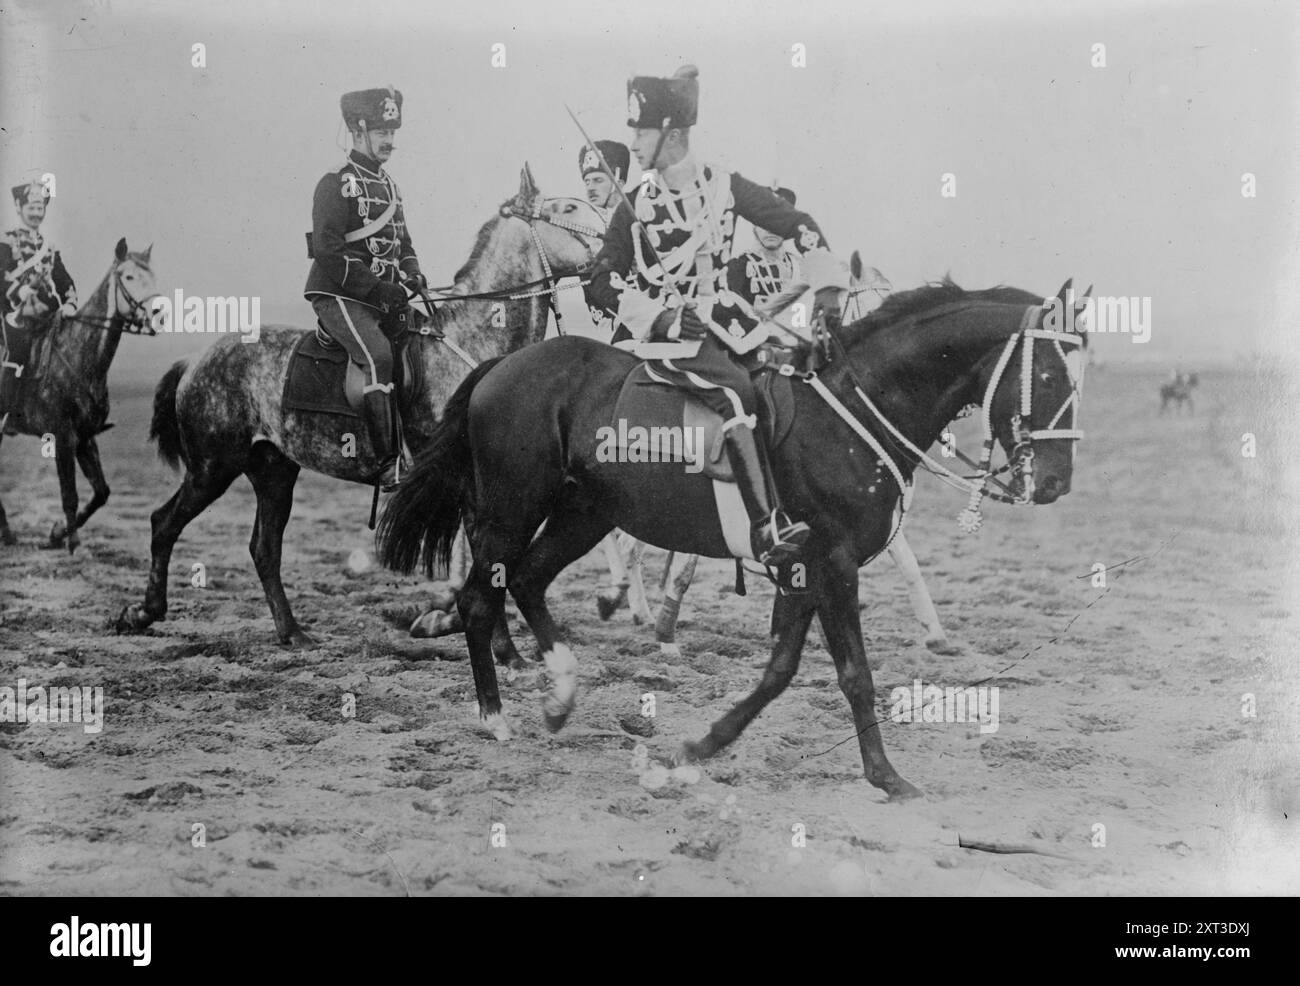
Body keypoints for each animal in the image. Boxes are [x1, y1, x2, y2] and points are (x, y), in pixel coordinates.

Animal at [0, 236, 161, 551]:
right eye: (128, 277)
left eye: (153, 276)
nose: (159, 315)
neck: (78, 355)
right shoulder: (62, 436)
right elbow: (69, 493)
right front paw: (70, 540)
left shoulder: (85, 438)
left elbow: (101, 492)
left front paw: (57, 533)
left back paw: (7, 533)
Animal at [114, 167, 600, 647]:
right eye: (569, 208)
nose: (610, 248)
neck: (474, 339)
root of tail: (196, 359)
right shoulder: (467, 484)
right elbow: (485, 556)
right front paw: (499, 647)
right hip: (212, 467)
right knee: (164, 523)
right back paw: (143, 613)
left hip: (273, 471)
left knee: (264, 549)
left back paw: (292, 632)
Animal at [377, 279, 1086, 801]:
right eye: (1050, 378)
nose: (1056, 482)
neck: (850, 413)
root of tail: (503, 365)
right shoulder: (832, 563)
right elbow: (854, 674)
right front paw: (887, 777)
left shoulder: (803, 568)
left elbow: (779, 671)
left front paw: (696, 750)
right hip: (510, 513)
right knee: (481, 598)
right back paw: (497, 717)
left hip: (584, 514)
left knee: (526, 582)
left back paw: (560, 698)